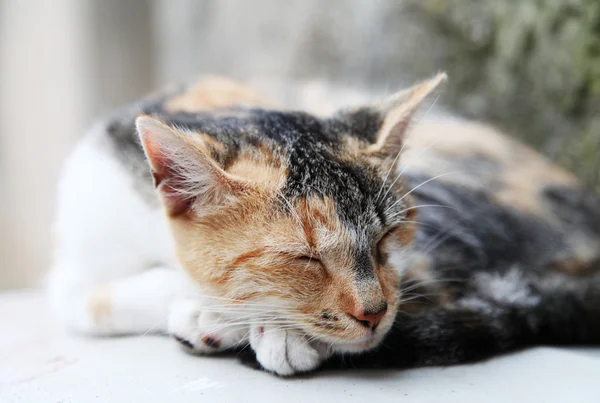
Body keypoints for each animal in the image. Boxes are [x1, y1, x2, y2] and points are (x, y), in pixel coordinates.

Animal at [47, 73, 600, 376]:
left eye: (385, 239)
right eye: (304, 258)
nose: (373, 313)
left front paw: (251, 324)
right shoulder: (76, 259)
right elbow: (98, 299)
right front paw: (216, 311)